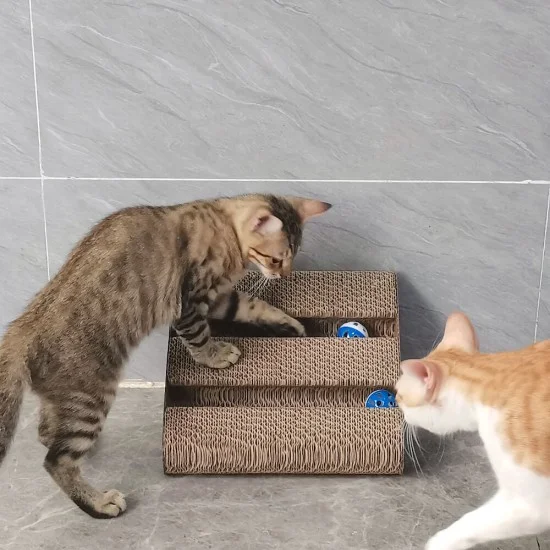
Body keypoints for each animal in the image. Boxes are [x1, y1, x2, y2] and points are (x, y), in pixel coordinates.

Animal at [0, 193, 330, 519]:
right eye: (276, 258)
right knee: (56, 461)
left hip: (67, 400)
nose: (283, 274)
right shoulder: (190, 302)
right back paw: (99, 503)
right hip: (90, 398)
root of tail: (22, 328)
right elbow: (200, 336)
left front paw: (291, 323)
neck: (223, 223)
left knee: (47, 433)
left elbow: (254, 306)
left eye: (292, 256)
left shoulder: (222, 298)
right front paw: (214, 356)